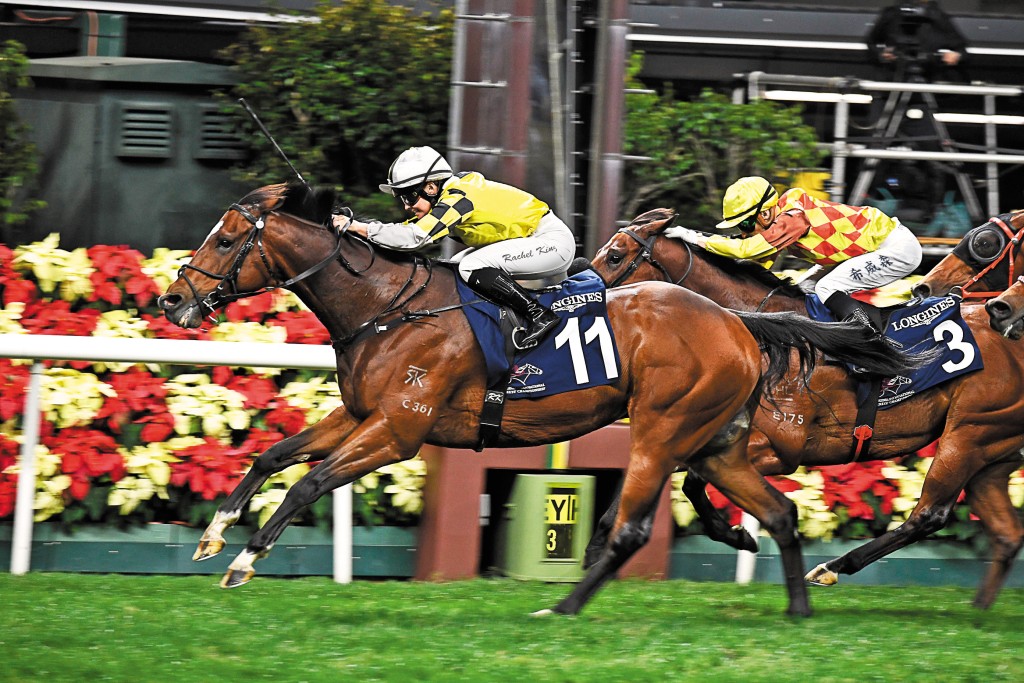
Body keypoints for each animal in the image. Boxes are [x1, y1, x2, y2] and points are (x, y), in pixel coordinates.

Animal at [151, 180, 905, 614]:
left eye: (225, 237)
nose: (172, 300)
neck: (387, 308)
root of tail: (736, 321)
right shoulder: (361, 413)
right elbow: (273, 456)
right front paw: (214, 535)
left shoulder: (398, 429)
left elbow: (310, 483)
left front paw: (245, 561)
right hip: (714, 442)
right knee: (778, 512)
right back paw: (796, 605)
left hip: (663, 430)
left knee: (636, 524)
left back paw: (566, 607)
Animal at [589, 208, 1024, 610]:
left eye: (615, 256)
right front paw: (599, 542)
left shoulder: (780, 447)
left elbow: (693, 481)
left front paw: (738, 535)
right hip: (991, 451)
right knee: (1006, 533)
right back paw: (978, 612)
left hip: (967, 436)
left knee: (929, 514)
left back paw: (831, 568)